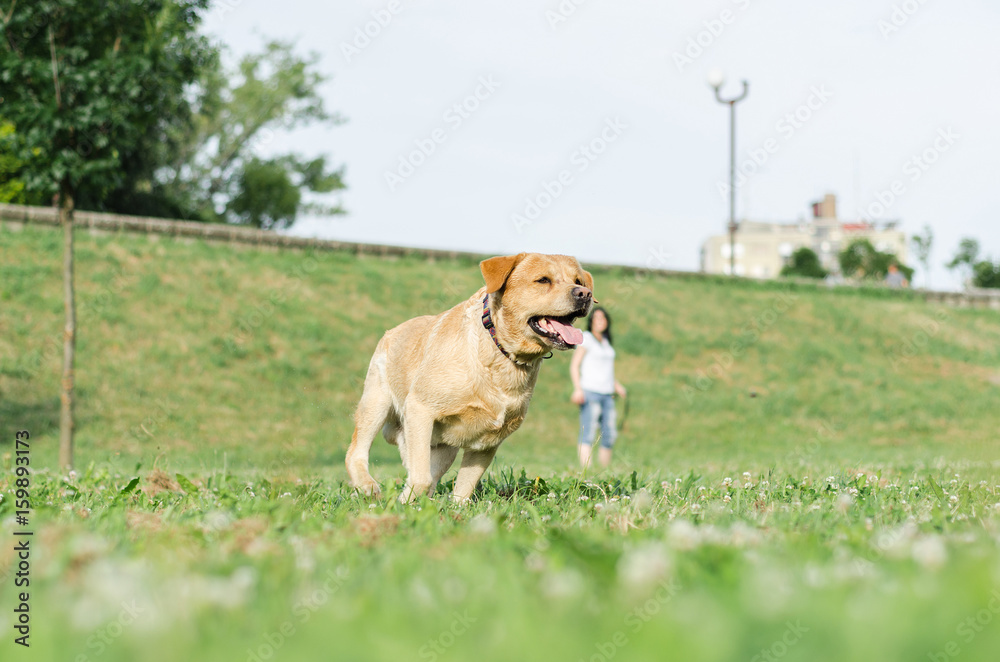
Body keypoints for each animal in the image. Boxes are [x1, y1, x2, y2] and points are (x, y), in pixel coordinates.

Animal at [346, 254, 592, 504]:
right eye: (543, 280)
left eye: (578, 280)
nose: (584, 293)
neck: (501, 353)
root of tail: (392, 331)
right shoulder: (419, 409)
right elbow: (422, 478)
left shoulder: (488, 440)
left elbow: (462, 490)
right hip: (377, 402)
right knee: (356, 452)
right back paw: (368, 487)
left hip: (443, 447)